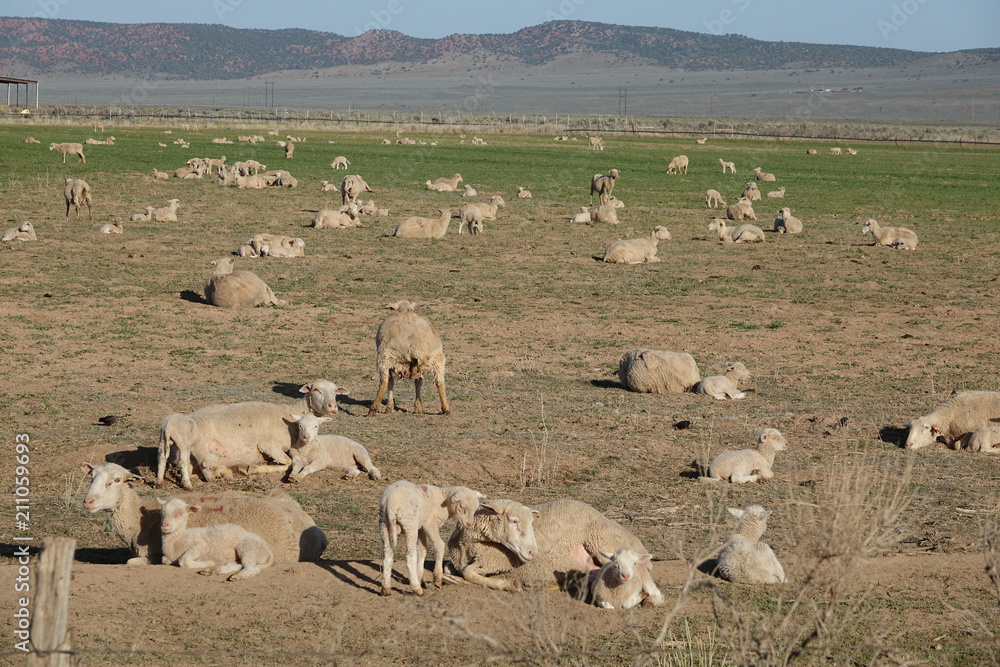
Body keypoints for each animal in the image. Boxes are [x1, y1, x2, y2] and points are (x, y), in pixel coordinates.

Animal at [447, 499, 662, 601]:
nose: (533, 552)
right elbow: (452, 568)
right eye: (513, 521)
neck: (467, 543)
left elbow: (468, 572)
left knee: (639, 570)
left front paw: (508, 584)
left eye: (532, 523)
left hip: (603, 540)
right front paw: (450, 578)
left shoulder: (495, 560)